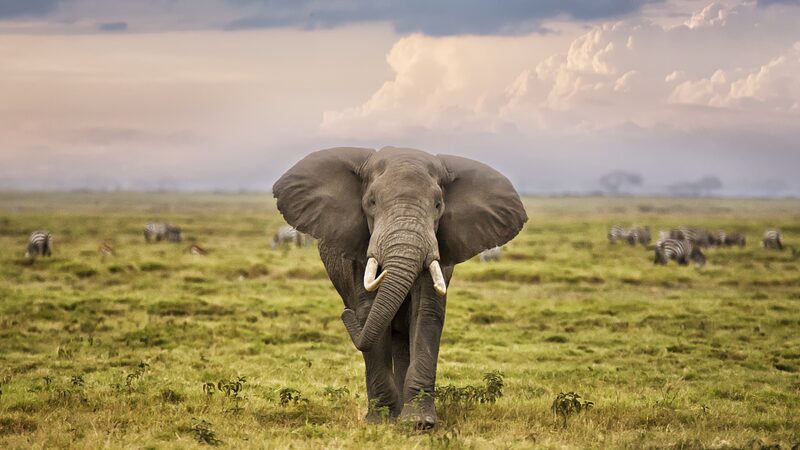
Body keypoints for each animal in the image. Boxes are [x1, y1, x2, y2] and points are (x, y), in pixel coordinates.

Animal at [273, 146, 527, 428]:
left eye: (438, 205)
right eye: (371, 202)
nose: (345, 314)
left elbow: (426, 313)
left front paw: (419, 423)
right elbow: (369, 312)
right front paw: (381, 420)